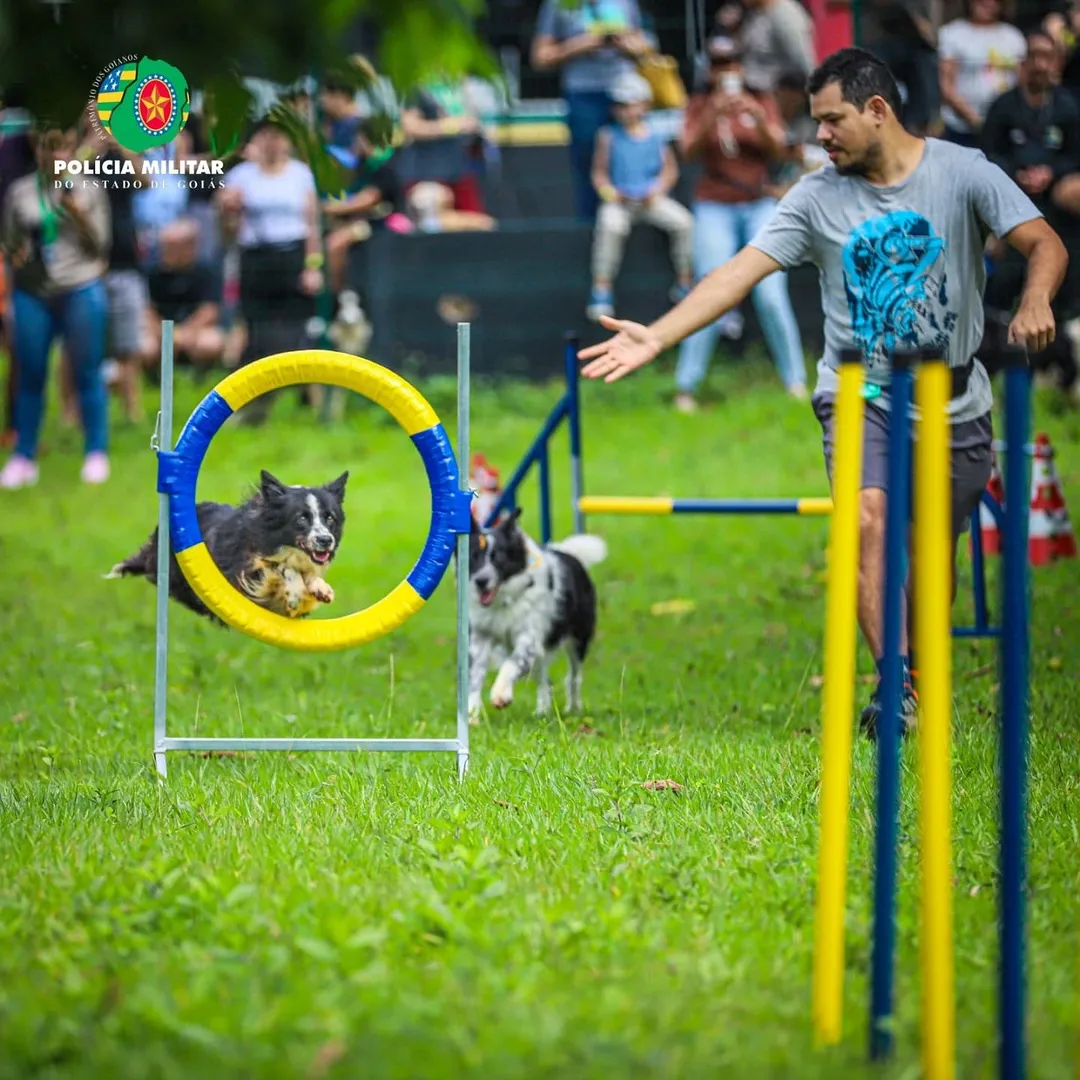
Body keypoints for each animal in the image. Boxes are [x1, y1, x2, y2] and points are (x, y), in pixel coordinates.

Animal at [107, 470, 348, 622]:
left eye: (329, 518)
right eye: (301, 518)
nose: (326, 540)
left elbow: (306, 573)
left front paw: (320, 588)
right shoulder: (246, 573)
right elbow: (282, 568)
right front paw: (296, 591)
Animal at [466, 508, 607, 720]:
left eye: (498, 557)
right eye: (474, 556)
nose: (481, 581)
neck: (505, 599)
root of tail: (570, 555)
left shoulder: (528, 637)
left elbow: (511, 664)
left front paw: (501, 694)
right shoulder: (481, 636)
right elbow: (475, 675)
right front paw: (472, 714)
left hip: (578, 640)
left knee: (573, 677)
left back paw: (573, 707)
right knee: (544, 680)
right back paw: (543, 710)